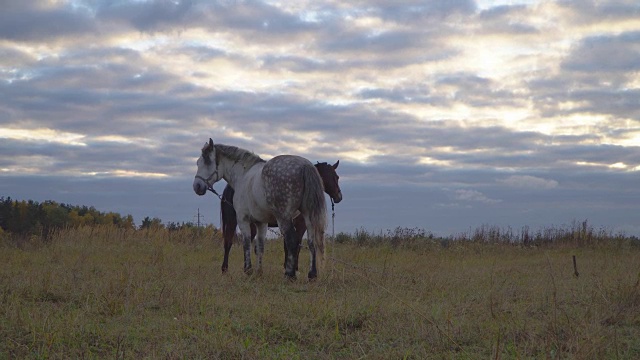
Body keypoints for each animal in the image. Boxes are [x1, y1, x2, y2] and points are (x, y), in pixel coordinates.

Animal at [192, 139, 328, 280]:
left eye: (207, 162)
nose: (197, 186)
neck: (244, 175)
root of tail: (304, 166)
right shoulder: (261, 223)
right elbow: (260, 246)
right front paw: (259, 271)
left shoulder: (243, 219)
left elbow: (246, 243)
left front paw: (248, 270)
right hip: (308, 216)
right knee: (312, 241)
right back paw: (312, 274)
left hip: (283, 218)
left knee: (291, 240)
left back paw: (289, 275)